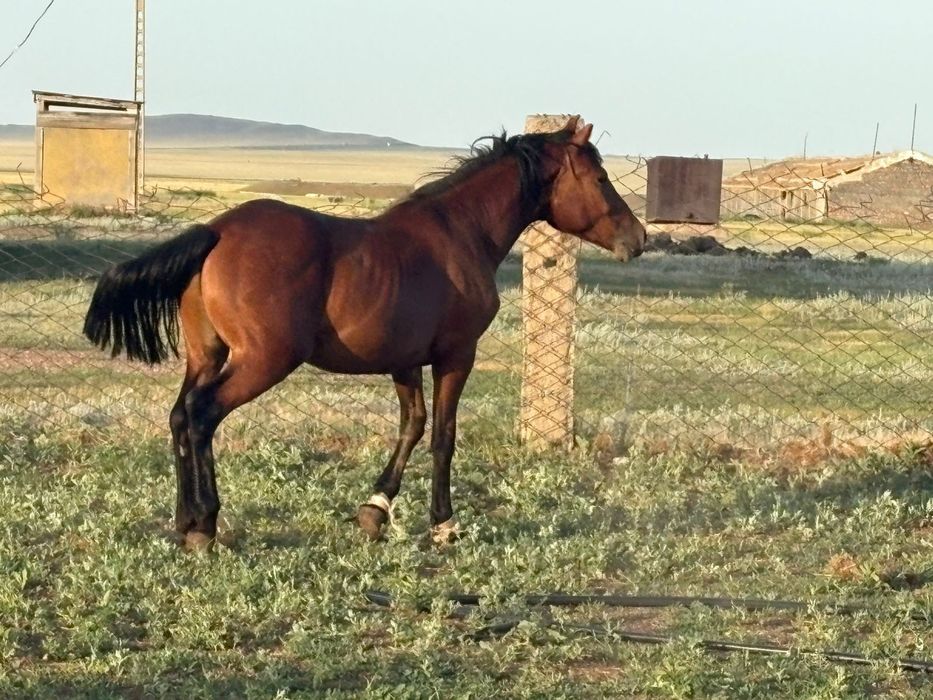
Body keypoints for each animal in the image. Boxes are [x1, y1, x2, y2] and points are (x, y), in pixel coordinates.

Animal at [83, 117, 646, 551]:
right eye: (600, 177)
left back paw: (185, 522)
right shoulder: (456, 356)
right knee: (202, 416)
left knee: (180, 416)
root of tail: (217, 231)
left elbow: (411, 426)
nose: (638, 238)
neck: (461, 233)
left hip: (207, 355)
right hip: (261, 360)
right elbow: (443, 436)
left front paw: (375, 510)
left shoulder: (404, 361)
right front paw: (443, 524)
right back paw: (205, 525)